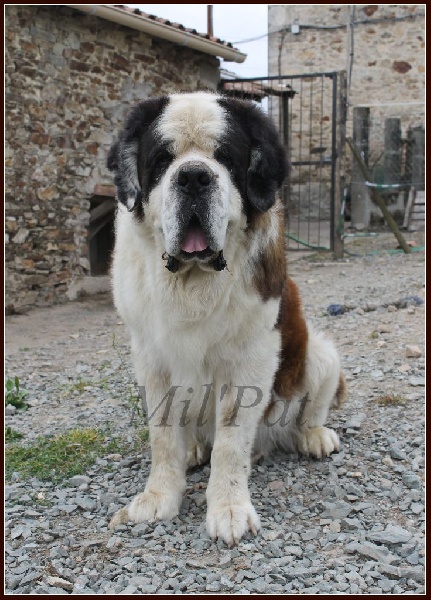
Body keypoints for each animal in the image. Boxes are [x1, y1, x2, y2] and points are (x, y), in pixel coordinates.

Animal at [108, 91, 348, 548]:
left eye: (225, 158)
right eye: (163, 160)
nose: (193, 177)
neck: (192, 281)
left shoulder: (250, 359)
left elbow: (232, 441)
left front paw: (229, 509)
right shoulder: (150, 358)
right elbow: (162, 435)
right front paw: (159, 497)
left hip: (321, 354)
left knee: (310, 406)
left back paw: (313, 436)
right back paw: (193, 450)